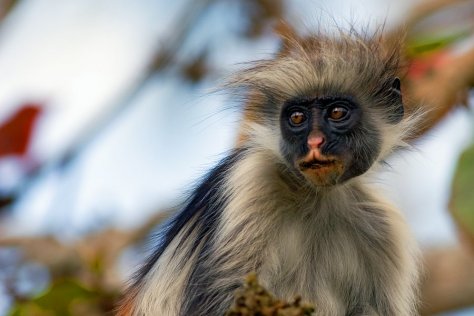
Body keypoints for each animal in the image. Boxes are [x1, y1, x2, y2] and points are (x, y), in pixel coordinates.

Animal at [117, 27, 418, 316]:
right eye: (297, 118)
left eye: (337, 113)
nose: (314, 142)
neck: (318, 196)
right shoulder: (250, 179)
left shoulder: (384, 228)